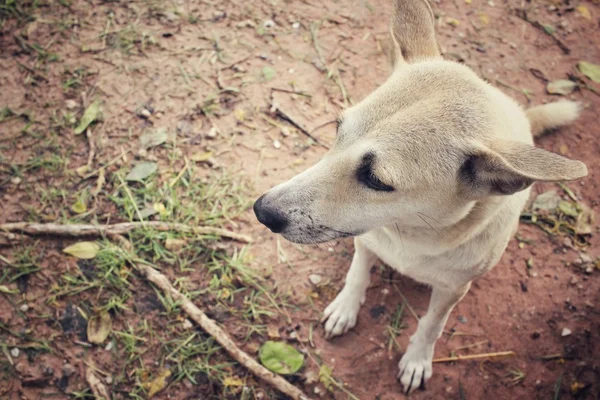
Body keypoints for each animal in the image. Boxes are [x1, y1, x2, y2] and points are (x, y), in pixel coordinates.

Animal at [251, 0, 588, 394]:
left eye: (375, 179)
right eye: (338, 130)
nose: (262, 211)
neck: (411, 236)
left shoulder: (453, 290)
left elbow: (431, 325)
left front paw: (417, 359)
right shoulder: (365, 242)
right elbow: (357, 274)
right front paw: (346, 307)